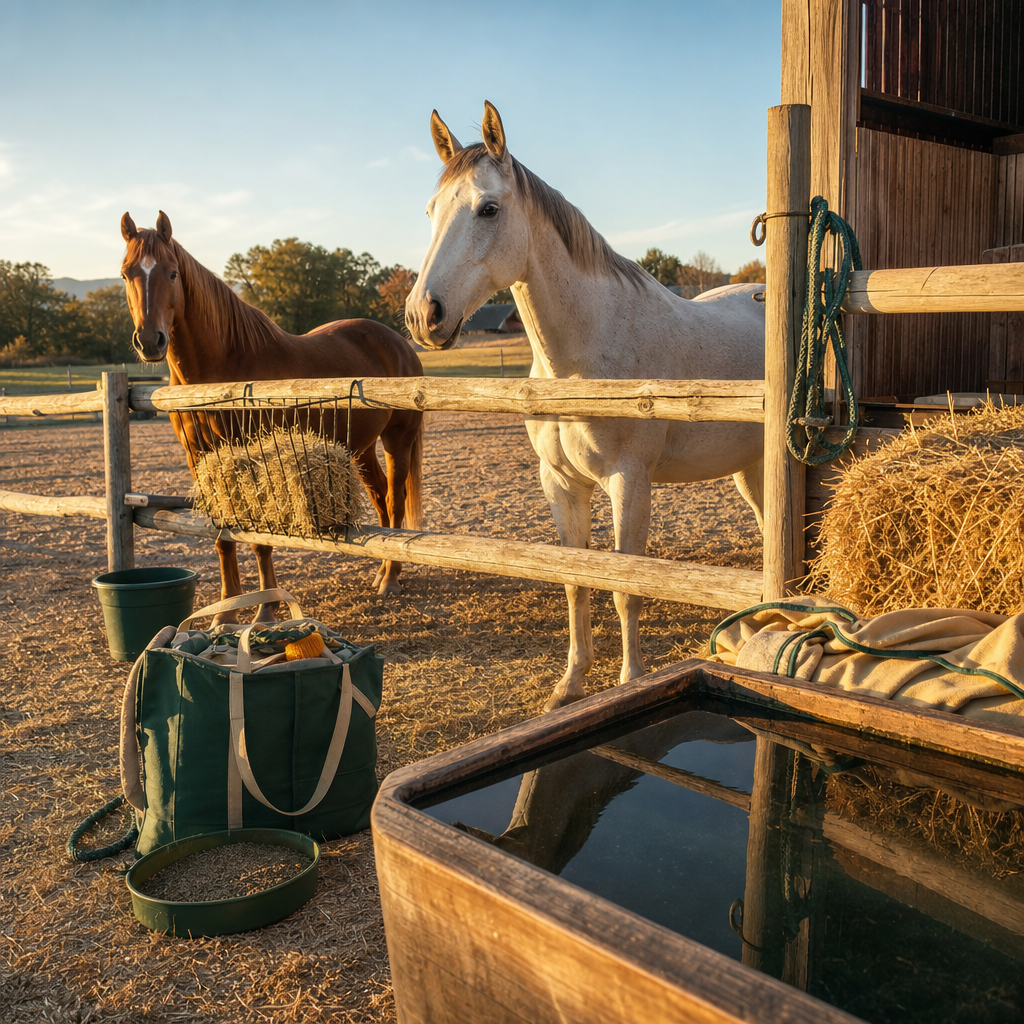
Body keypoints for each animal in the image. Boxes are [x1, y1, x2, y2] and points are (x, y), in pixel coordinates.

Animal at [120, 211, 425, 619]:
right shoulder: (201, 458)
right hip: (359, 447)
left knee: (393, 499)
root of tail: (397, 341)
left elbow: (258, 536)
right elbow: (222, 535)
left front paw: (265, 610)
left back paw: (391, 578)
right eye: (126, 273)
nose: (150, 341)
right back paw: (380, 572)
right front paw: (226, 612)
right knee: (379, 500)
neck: (222, 368)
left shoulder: (252, 459)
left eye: (171, 273)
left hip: (397, 440)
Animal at [405, 102, 765, 710]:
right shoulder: (561, 482)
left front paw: (629, 680)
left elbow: (626, 588)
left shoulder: (628, 481)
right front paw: (570, 685)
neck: (581, 360)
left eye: (488, 208)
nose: (423, 315)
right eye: (430, 211)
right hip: (752, 470)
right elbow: (576, 579)